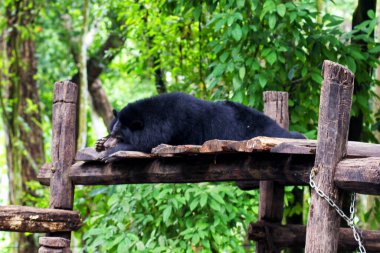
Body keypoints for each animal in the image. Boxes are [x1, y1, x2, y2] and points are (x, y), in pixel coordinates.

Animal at [96, 91, 304, 158]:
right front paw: (100, 143)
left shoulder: (178, 129)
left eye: (119, 135)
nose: (107, 143)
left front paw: (110, 151)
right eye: (112, 132)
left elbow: (146, 144)